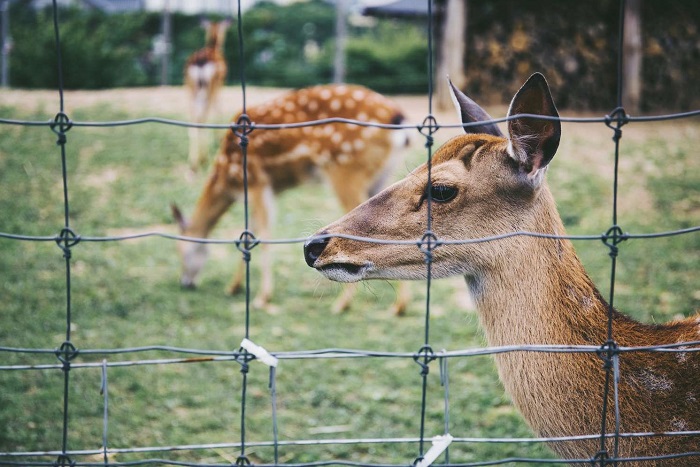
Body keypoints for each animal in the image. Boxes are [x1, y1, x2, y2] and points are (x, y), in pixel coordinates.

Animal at [172, 84, 410, 314]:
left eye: (182, 251)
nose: (185, 283)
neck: (228, 177)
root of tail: (399, 119)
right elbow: (249, 231)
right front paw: (234, 287)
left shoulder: (257, 181)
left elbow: (262, 233)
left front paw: (262, 298)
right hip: (382, 176)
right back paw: (398, 306)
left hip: (346, 168)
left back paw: (342, 304)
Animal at [184, 18, 231, 171]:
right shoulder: (220, 84)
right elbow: (219, 109)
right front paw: (219, 138)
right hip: (210, 85)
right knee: (203, 117)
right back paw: (203, 159)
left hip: (190, 86)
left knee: (194, 119)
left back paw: (193, 162)